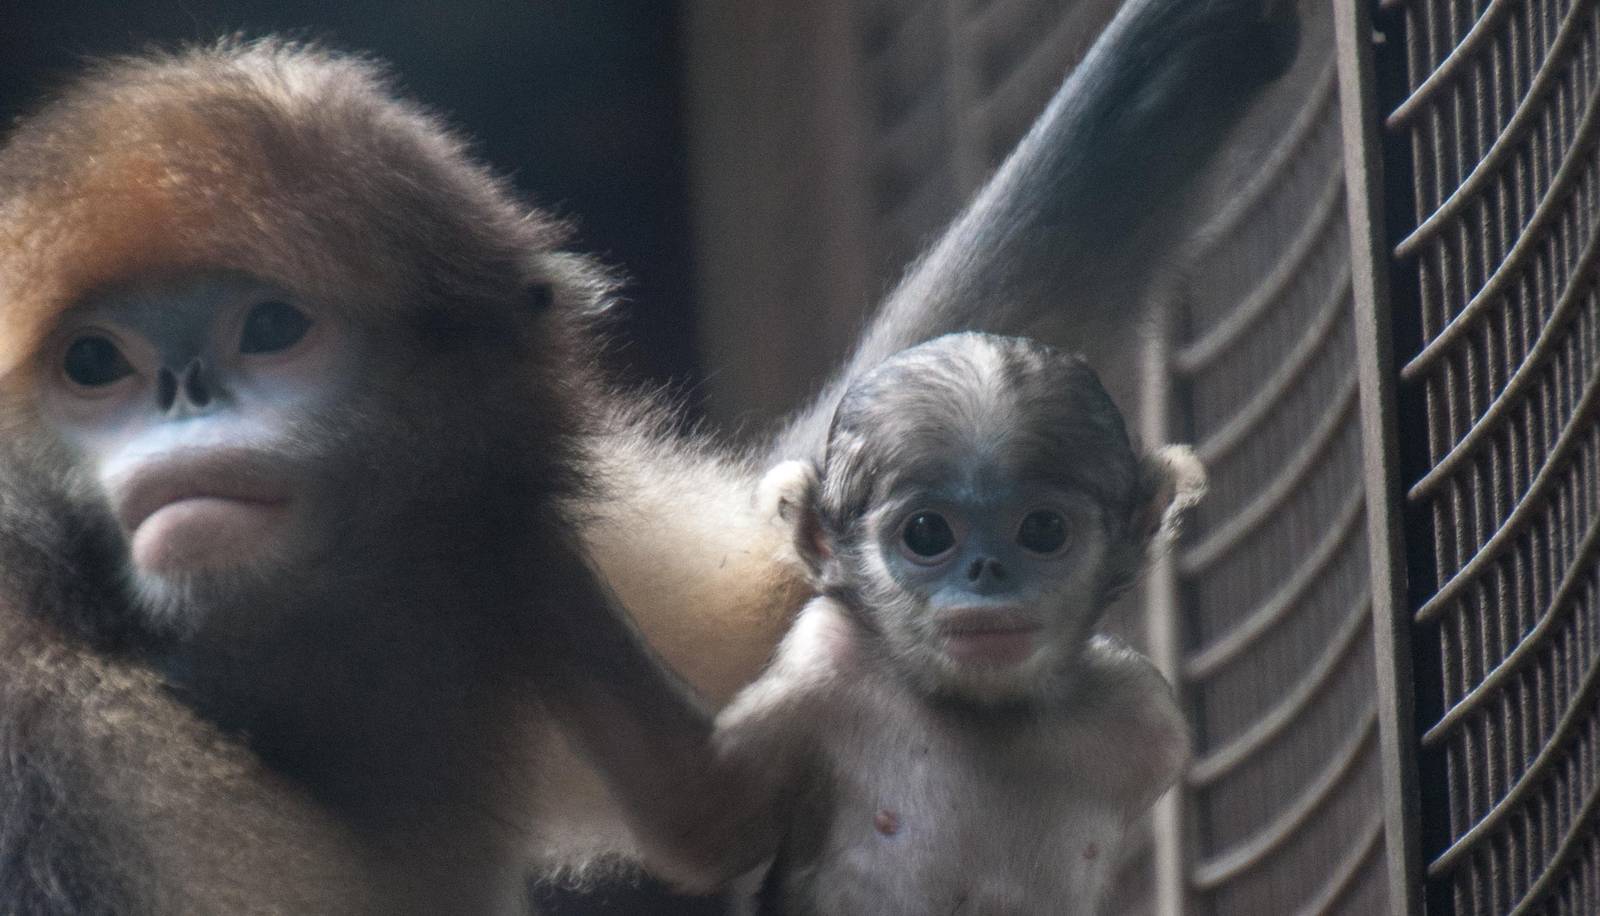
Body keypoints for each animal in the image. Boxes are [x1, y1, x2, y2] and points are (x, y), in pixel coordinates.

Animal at [543, 333, 1204, 915]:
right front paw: (530, 521)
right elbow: (701, 823)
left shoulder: (1142, 707)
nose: (987, 571)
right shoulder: (824, 656)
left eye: (1043, 529)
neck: (985, 713)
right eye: (927, 533)